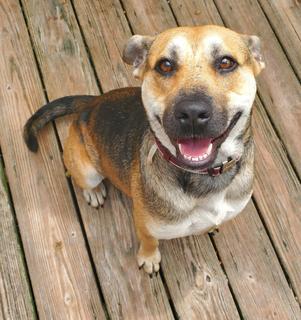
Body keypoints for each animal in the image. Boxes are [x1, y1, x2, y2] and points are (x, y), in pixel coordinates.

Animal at [23, 25, 262, 276]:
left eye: (226, 62)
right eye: (165, 65)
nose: (192, 113)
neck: (204, 178)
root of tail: (91, 103)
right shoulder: (144, 224)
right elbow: (149, 241)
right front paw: (149, 258)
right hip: (87, 170)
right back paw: (94, 191)